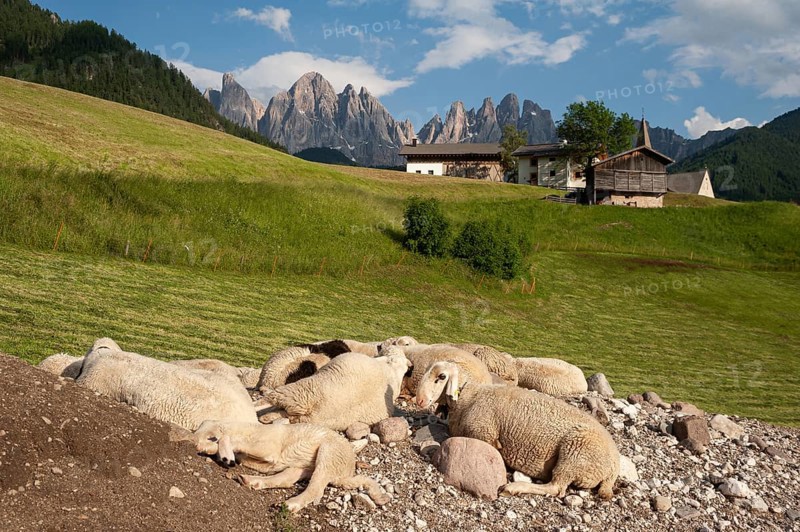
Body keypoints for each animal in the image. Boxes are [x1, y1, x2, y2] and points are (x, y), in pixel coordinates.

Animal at [192, 420, 389, 512]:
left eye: (210, 435)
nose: (195, 445)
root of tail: (346, 473)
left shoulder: (267, 448)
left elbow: (230, 439)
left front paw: (226, 456)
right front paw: (215, 451)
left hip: (328, 454)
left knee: (315, 489)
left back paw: (290, 505)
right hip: (303, 467)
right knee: (286, 479)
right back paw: (251, 481)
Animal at [415, 361, 619, 499]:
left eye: (441, 377)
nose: (420, 400)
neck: (469, 396)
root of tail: (613, 467)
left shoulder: (485, 433)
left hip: (575, 453)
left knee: (557, 487)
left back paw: (513, 488)